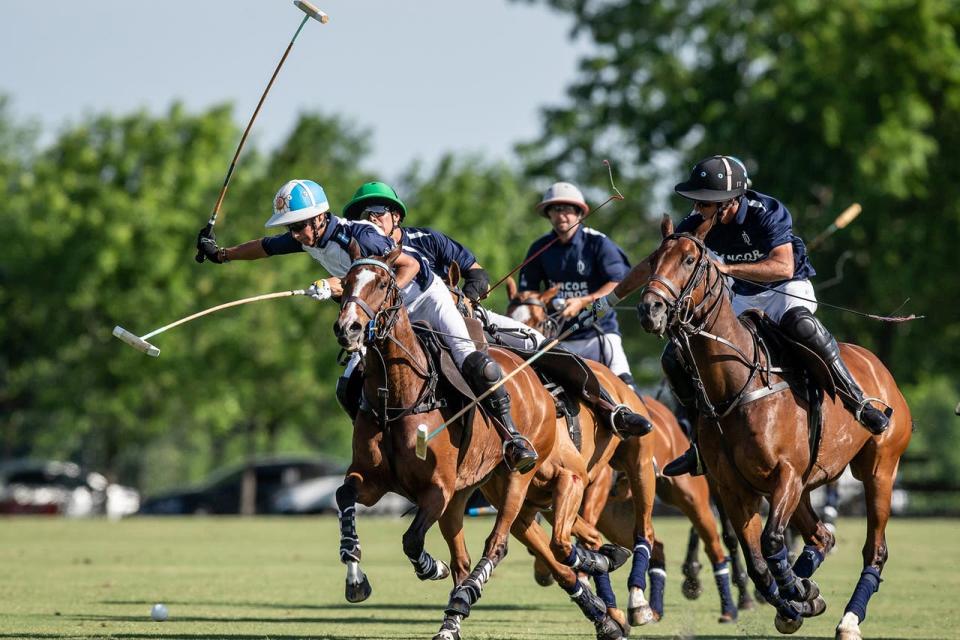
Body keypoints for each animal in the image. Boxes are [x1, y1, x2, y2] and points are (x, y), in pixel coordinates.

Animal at [334, 245, 632, 640]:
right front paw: (356, 578)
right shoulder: (372, 480)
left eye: (383, 283)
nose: (347, 328)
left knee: (500, 544)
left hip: (519, 481)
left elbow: (412, 541)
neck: (399, 399)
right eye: (345, 283)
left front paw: (432, 567)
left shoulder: (438, 489)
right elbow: (345, 497)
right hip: (477, 496)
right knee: (484, 557)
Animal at [636, 216, 908, 640]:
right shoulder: (733, 487)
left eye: (689, 259)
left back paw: (848, 619)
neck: (735, 386)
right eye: (653, 259)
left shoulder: (785, 475)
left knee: (874, 549)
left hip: (879, 469)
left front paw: (798, 593)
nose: (651, 308)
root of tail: (878, 366)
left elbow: (771, 539)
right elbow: (757, 560)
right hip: (807, 485)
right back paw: (804, 587)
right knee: (821, 535)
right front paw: (796, 601)